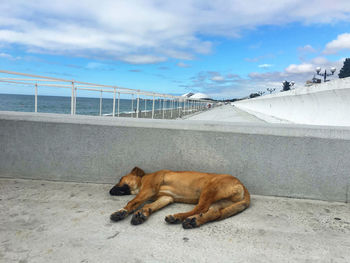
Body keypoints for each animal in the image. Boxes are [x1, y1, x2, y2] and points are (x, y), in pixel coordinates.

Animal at [109, 168, 249, 230]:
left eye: (120, 179)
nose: (110, 191)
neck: (143, 179)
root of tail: (243, 186)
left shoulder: (148, 190)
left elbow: (133, 202)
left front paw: (121, 212)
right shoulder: (166, 198)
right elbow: (149, 206)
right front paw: (142, 213)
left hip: (209, 189)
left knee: (200, 208)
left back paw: (178, 217)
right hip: (219, 202)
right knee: (215, 213)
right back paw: (194, 221)